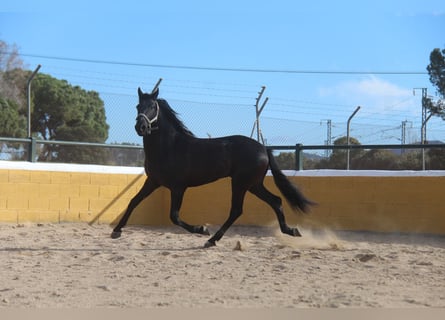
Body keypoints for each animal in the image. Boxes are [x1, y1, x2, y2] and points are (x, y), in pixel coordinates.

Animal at [110, 87, 312, 248]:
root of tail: (263, 148)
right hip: (253, 184)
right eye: (138, 107)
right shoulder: (153, 181)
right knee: (275, 201)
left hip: (241, 183)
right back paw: (291, 231)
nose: (141, 127)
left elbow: (174, 216)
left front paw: (202, 229)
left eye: (152, 106)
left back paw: (211, 239)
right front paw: (116, 231)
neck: (169, 147)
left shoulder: (178, 187)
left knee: (237, 210)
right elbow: (133, 202)